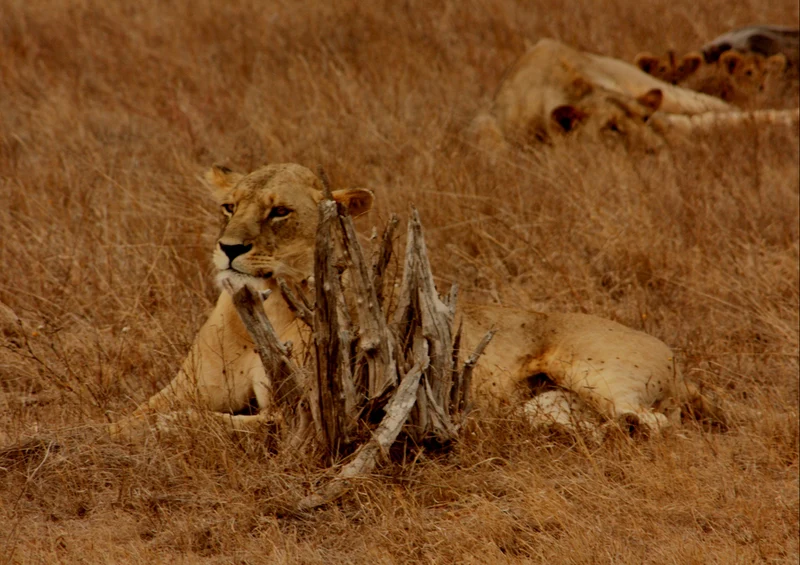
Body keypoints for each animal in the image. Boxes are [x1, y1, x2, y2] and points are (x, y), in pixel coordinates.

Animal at [109, 163, 725, 442]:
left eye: (279, 211)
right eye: (228, 207)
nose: (229, 249)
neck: (266, 306)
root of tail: (678, 359)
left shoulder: (304, 413)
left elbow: (205, 423)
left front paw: (158, 432)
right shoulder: (185, 386)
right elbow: (132, 415)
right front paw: (101, 432)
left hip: (594, 369)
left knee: (653, 421)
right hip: (549, 403)